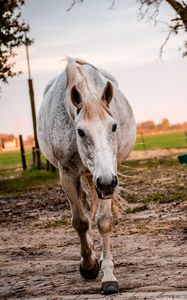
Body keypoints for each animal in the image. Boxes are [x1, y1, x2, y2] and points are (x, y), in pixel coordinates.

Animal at [37, 56, 136, 296]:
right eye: (80, 131)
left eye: (114, 126)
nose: (106, 182)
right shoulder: (67, 174)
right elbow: (81, 222)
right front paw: (89, 266)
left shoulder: (109, 175)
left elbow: (104, 221)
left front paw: (108, 276)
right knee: (82, 205)